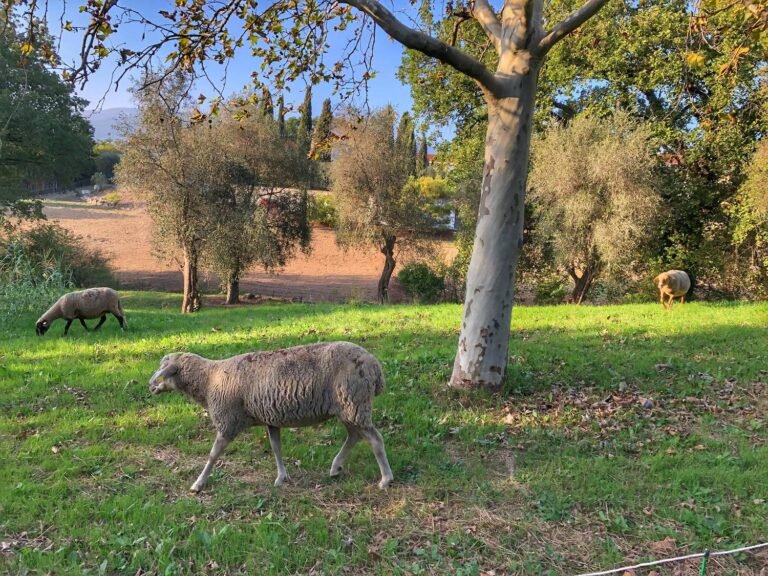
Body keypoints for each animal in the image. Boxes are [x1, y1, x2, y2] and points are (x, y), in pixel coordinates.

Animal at [148, 341, 394, 492]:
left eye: (165, 369)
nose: (151, 388)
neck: (209, 380)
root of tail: (376, 368)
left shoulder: (228, 421)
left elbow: (213, 454)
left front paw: (198, 483)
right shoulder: (271, 418)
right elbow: (276, 447)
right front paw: (281, 477)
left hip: (354, 403)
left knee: (375, 439)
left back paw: (385, 479)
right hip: (349, 408)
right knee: (354, 436)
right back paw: (335, 468)